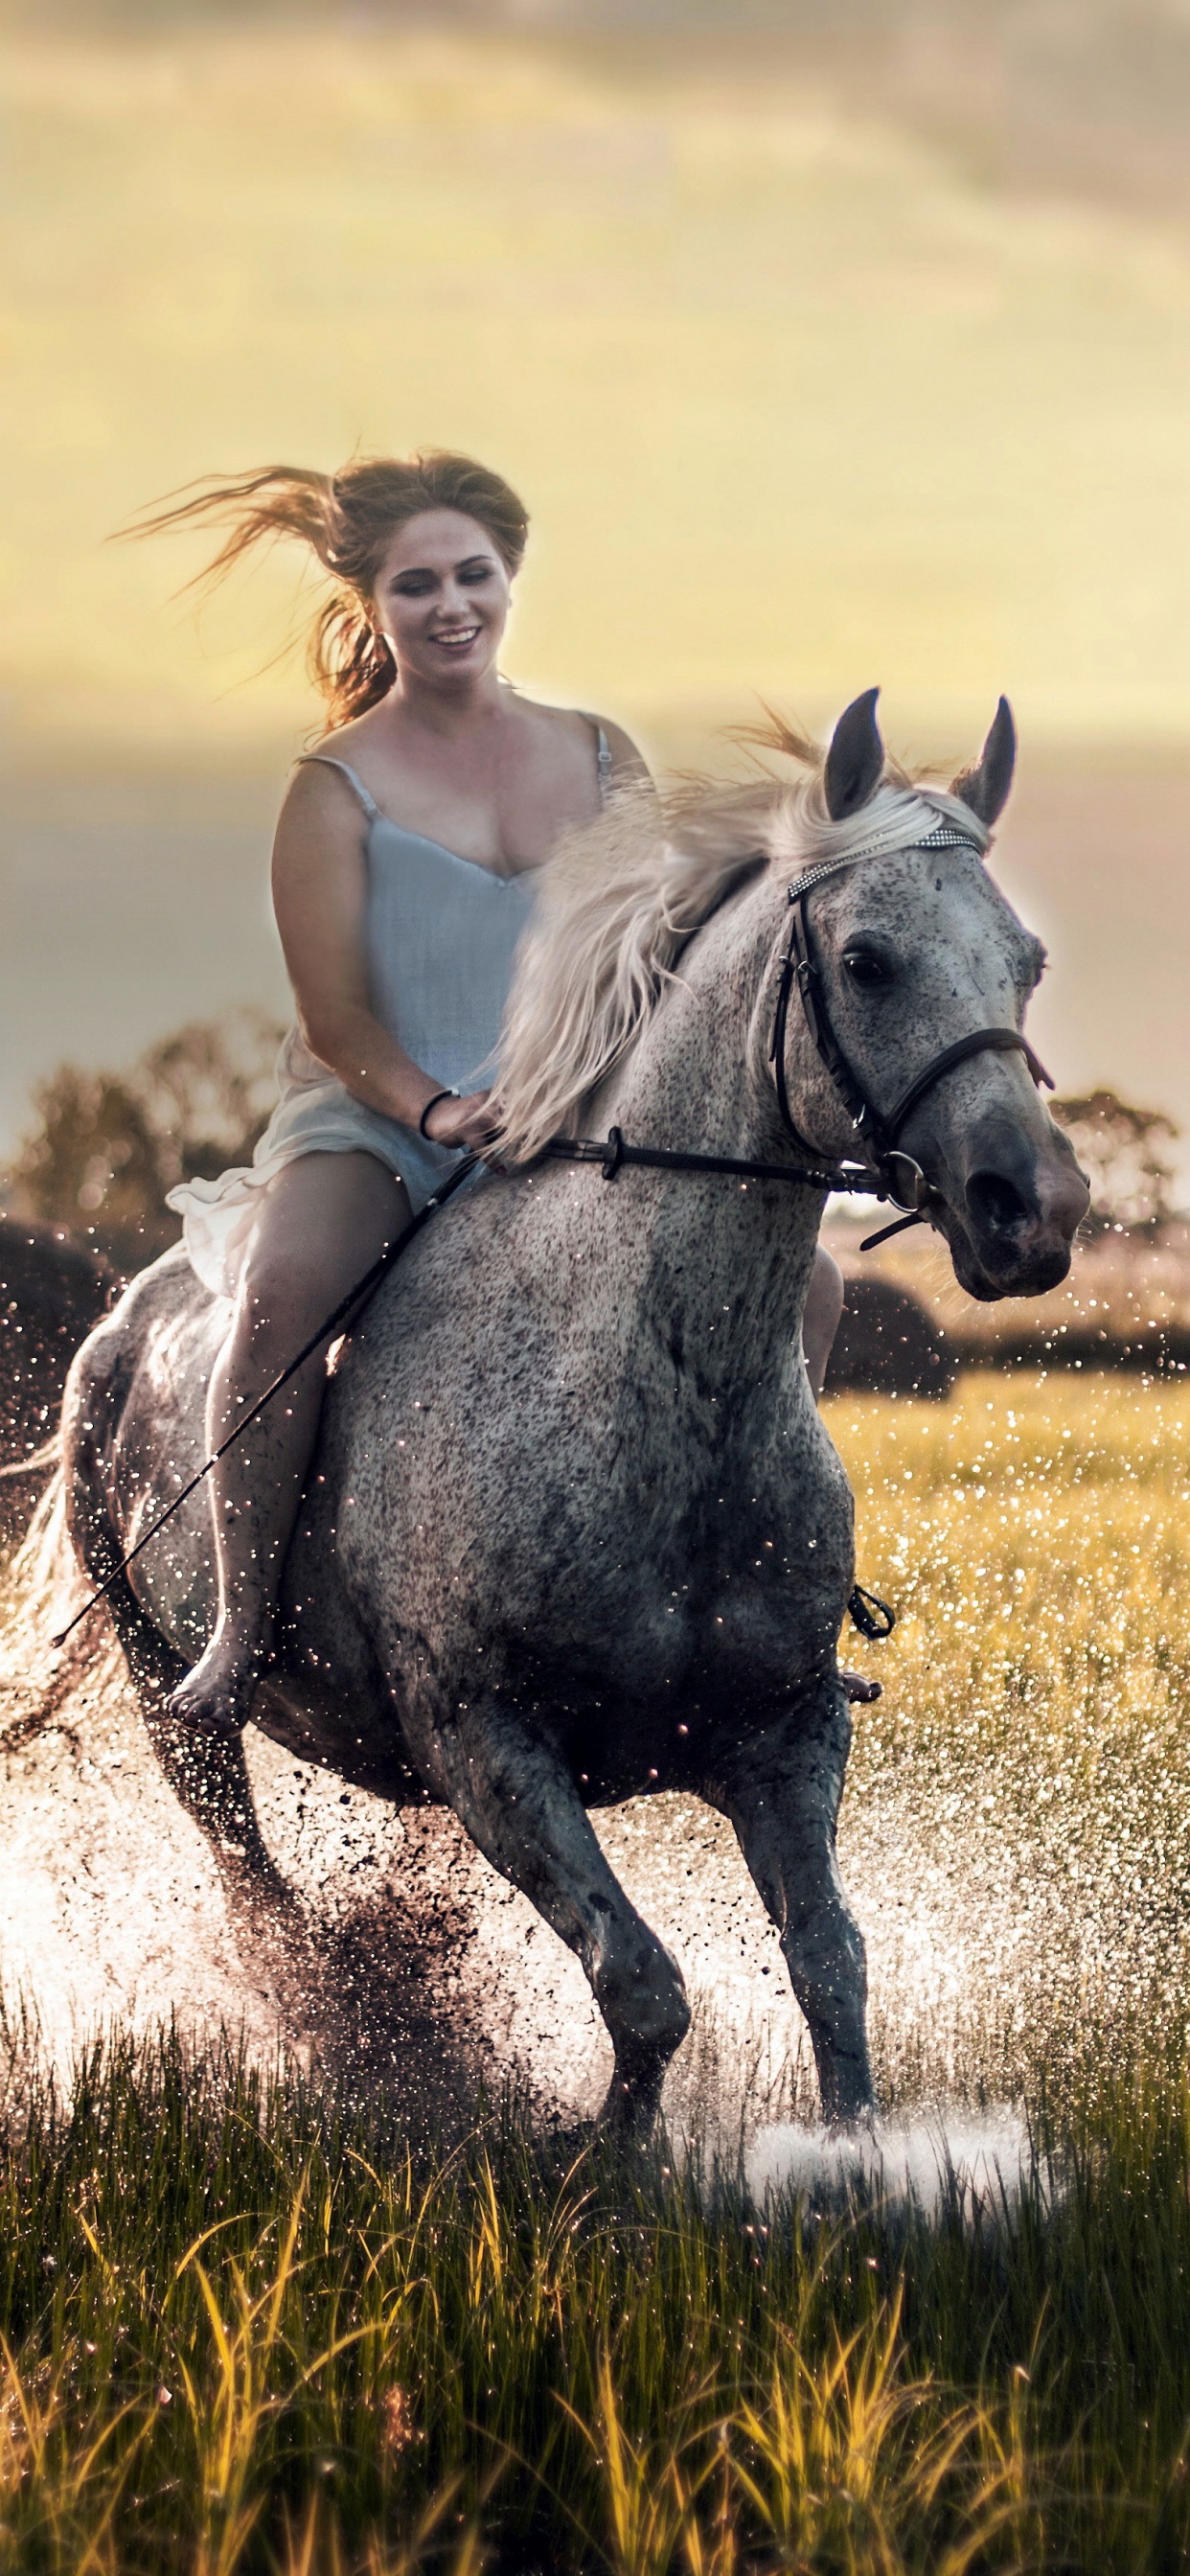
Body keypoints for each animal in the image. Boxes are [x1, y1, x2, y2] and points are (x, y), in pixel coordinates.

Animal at [59, 691, 1088, 2136]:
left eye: (1025, 963)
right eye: (868, 960)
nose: (1033, 1211)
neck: (663, 1394)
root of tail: (123, 1321)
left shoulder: (784, 1734)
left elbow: (830, 1964)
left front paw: (855, 2161)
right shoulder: (492, 1745)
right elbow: (641, 1986)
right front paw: (603, 2170)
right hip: (175, 1710)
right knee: (259, 1898)